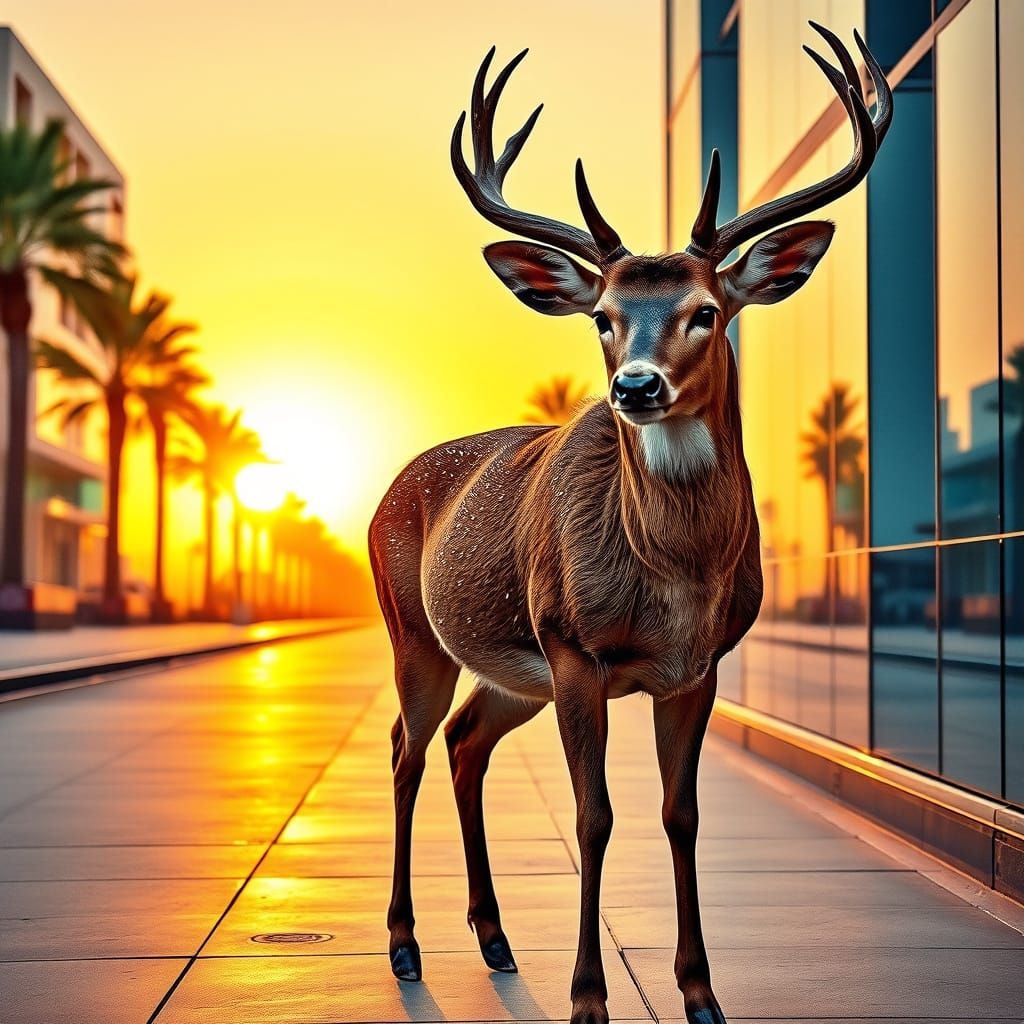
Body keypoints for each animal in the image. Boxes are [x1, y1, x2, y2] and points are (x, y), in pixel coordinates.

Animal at [369, 23, 891, 1024]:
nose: (635, 387)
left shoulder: (698, 666)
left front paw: (702, 994)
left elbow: (679, 814)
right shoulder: (576, 648)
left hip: (512, 669)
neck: (673, 585)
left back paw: (494, 939)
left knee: (464, 743)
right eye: (604, 318)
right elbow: (593, 815)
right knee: (407, 747)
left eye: (707, 311)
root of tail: (389, 488)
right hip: (418, 629)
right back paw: (406, 946)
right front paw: (587, 999)